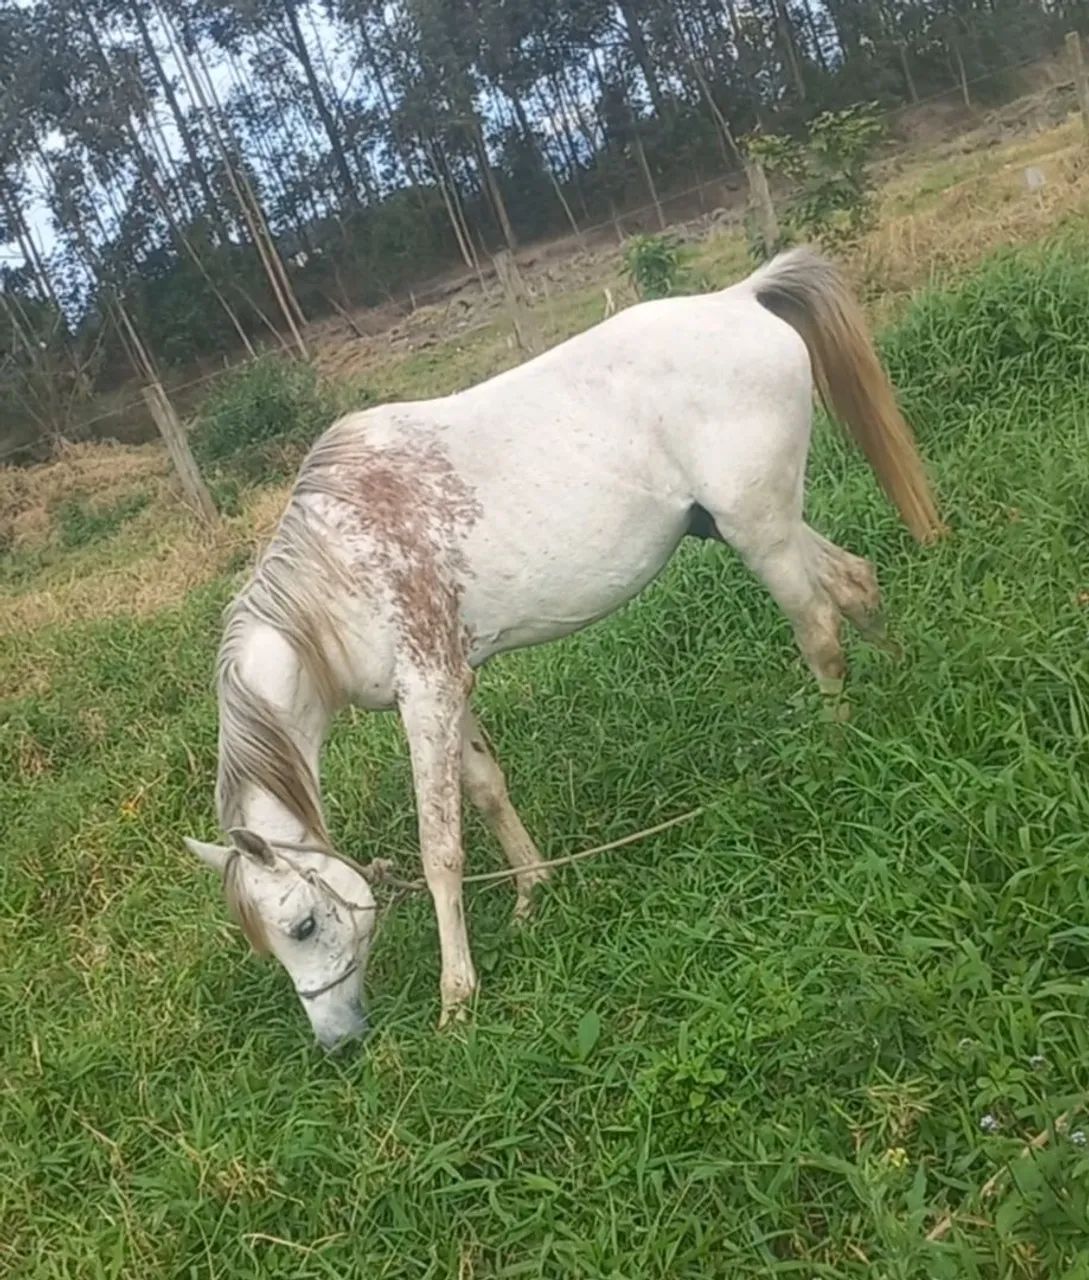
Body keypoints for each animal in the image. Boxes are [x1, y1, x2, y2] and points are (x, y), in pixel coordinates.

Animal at [184, 247, 941, 1051]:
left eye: (301, 925)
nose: (336, 1043)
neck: (339, 570)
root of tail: (739, 298)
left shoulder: (427, 693)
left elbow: (440, 848)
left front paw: (458, 999)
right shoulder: (448, 685)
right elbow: (487, 790)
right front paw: (531, 893)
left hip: (758, 533)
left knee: (820, 628)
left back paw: (834, 751)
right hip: (757, 528)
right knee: (856, 584)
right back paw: (900, 683)